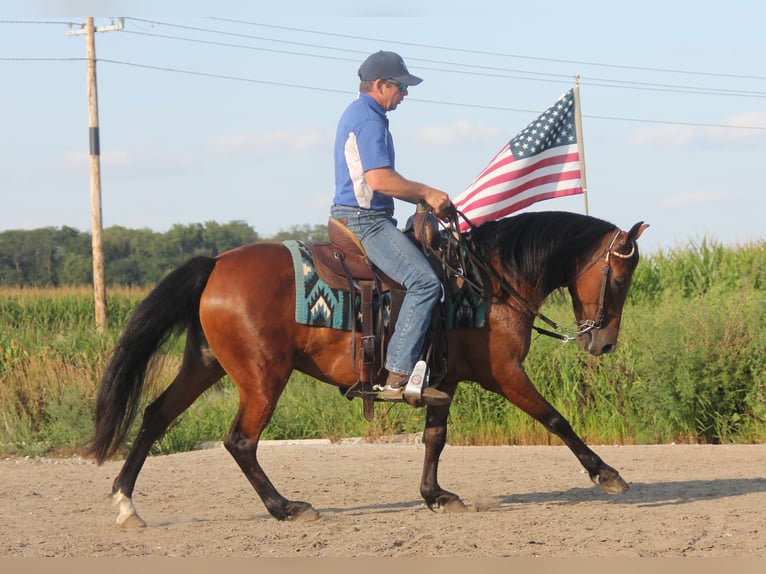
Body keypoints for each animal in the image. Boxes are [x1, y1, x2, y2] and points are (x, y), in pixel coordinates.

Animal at [88, 210, 648, 528]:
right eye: (621, 277)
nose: (603, 341)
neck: (488, 281)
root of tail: (217, 264)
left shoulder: (442, 381)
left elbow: (435, 439)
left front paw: (435, 496)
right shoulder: (504, 373)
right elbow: (556, 419)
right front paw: (607, 474)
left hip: (205, 365)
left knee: (156, 417)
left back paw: (125, 504)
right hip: (263, 377)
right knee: (240, 441)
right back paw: (287, 507)